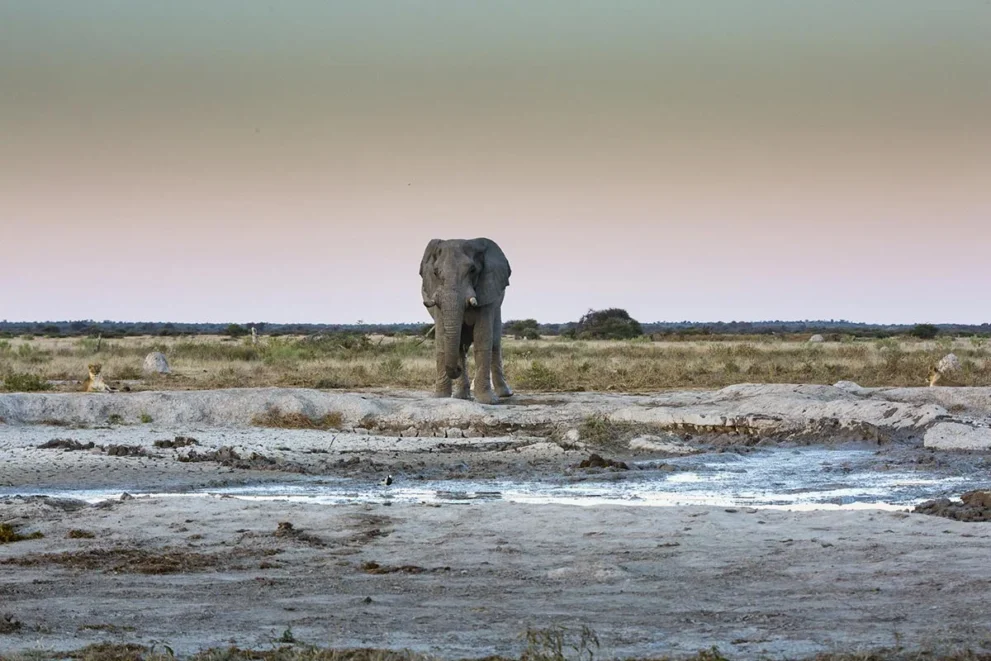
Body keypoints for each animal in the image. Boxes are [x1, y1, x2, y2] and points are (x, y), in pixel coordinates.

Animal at [419, 237, 513, 404]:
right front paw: (440, 397)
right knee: (461, 347)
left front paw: (488, 401)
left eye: (472, 270)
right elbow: (442, 340)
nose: (456, 368)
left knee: (495, 343)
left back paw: (504, 394)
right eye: (435, 272)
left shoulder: (487, 291)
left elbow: (483, 339)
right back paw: (461, 396)